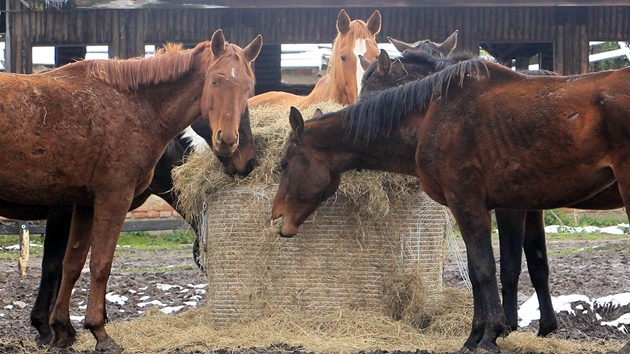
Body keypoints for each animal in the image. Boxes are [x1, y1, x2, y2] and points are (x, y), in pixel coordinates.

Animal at [274, 61, 630, 354]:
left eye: (284, 164)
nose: (278, 216)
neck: (432, 117)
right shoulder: (490, 207)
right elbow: (484, 270)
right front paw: (476, 335)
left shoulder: (471, 203)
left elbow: (488, 269)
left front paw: (491, 335)